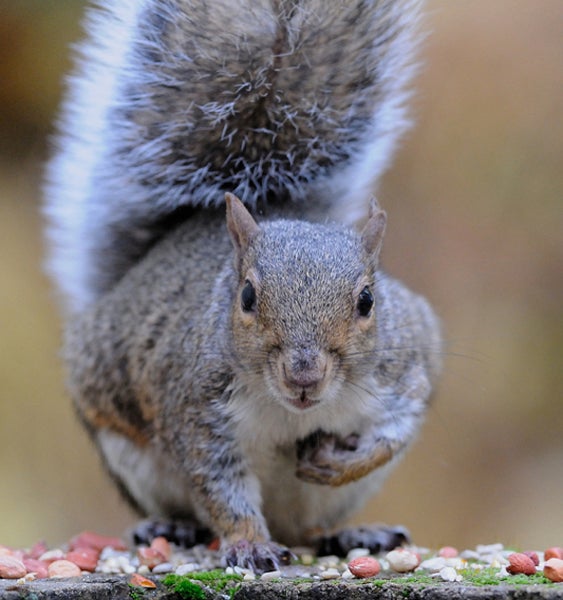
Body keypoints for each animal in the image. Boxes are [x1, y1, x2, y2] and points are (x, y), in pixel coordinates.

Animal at [45, 0, 440, 572]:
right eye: (247, 296)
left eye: (368, 301)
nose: (304, 375)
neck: (293, 413)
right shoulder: (196, 409)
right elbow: (220, 487)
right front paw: (250, 542)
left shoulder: (404, 368)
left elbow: (397, 430)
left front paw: (345, 460)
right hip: (128, 449)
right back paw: (170, 526)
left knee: (309, 528)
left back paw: (350, 533)